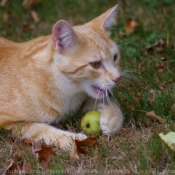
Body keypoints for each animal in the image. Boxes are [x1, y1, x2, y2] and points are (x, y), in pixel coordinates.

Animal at [0, 5, 123, 150]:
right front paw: (74, 139)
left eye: (115, 57)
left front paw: (113, 117)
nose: (118, 78)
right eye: (95, 64)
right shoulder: (9, 123)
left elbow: (105, 100)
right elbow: (40, 130)